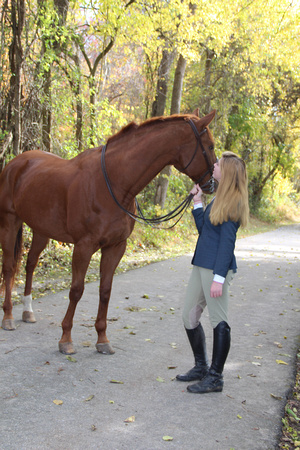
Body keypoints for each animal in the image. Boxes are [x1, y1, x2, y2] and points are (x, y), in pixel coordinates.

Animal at [0, 110, 216, 356]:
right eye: (209, 146)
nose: (213, 184)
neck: (112, 182)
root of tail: (15, 163)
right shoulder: (84, 247)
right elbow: (76, 290)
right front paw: (66, 339)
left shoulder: (115, 246)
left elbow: (105, 290)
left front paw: (102, 339)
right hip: (10, 222)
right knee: (9, 267)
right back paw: (8, 316)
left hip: (41, 230)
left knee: (30, 264)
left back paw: (27, 311)